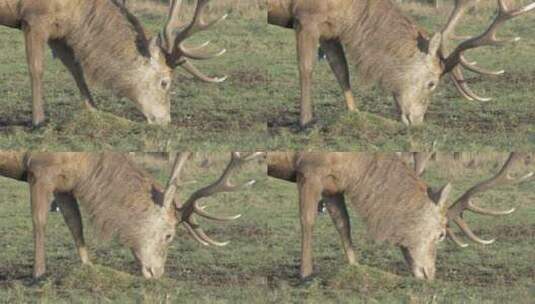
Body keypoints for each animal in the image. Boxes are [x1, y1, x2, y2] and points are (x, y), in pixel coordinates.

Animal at [0, 0, 226, 126]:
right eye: (165, 82)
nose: (165, 121)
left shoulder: (60, 29)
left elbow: (76, 67)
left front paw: (94, 109)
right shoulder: (34, 18)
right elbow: (36, 68)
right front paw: (38, 120)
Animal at [0, 151, 262, 280]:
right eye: (169, 235)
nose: (157, 274)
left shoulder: (65, 185)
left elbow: (75, 223)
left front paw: (89, 266)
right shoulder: (39, 170)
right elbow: (39, 221)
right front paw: (38, 273)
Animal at [270, 0, 535, 127]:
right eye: (432, 83)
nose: (417, 122)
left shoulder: (331, 28)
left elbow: (341, 69)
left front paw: (355, 113)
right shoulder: (306, 17)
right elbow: (306, 68)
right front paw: (305, 121)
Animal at [270, 153, 532, 282]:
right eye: (441, 234)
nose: (430, 276)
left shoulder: (333, 185)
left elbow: (343, 223)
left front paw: (356, 267)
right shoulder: (309, 170)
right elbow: (307, 220)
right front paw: (305, 274)